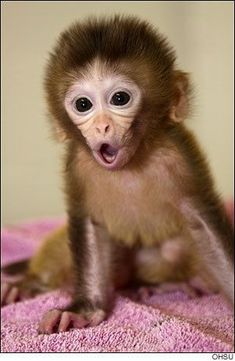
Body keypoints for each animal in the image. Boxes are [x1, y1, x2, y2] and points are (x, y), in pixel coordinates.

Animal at [1, 16, 233, 332]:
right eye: (83, 105)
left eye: (120, 98)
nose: (102, 126)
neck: (131, 163)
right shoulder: (79, 163)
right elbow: (88, 222)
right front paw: (84, 309)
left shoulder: (180, 155)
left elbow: (203, 220)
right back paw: (30, 283)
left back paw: (171, 285)